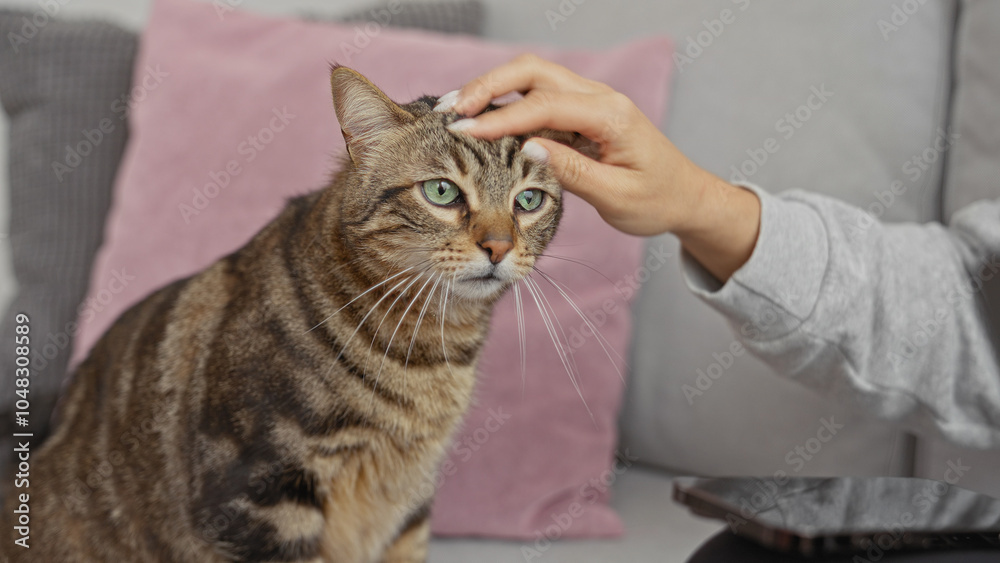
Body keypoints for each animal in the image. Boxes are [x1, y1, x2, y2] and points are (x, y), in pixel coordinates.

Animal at [0, 66, 566, 562]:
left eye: (528, 201)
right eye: (442, 191)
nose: (498, 246)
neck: (429, 349)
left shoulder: (408, 504)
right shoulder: (261, 494)